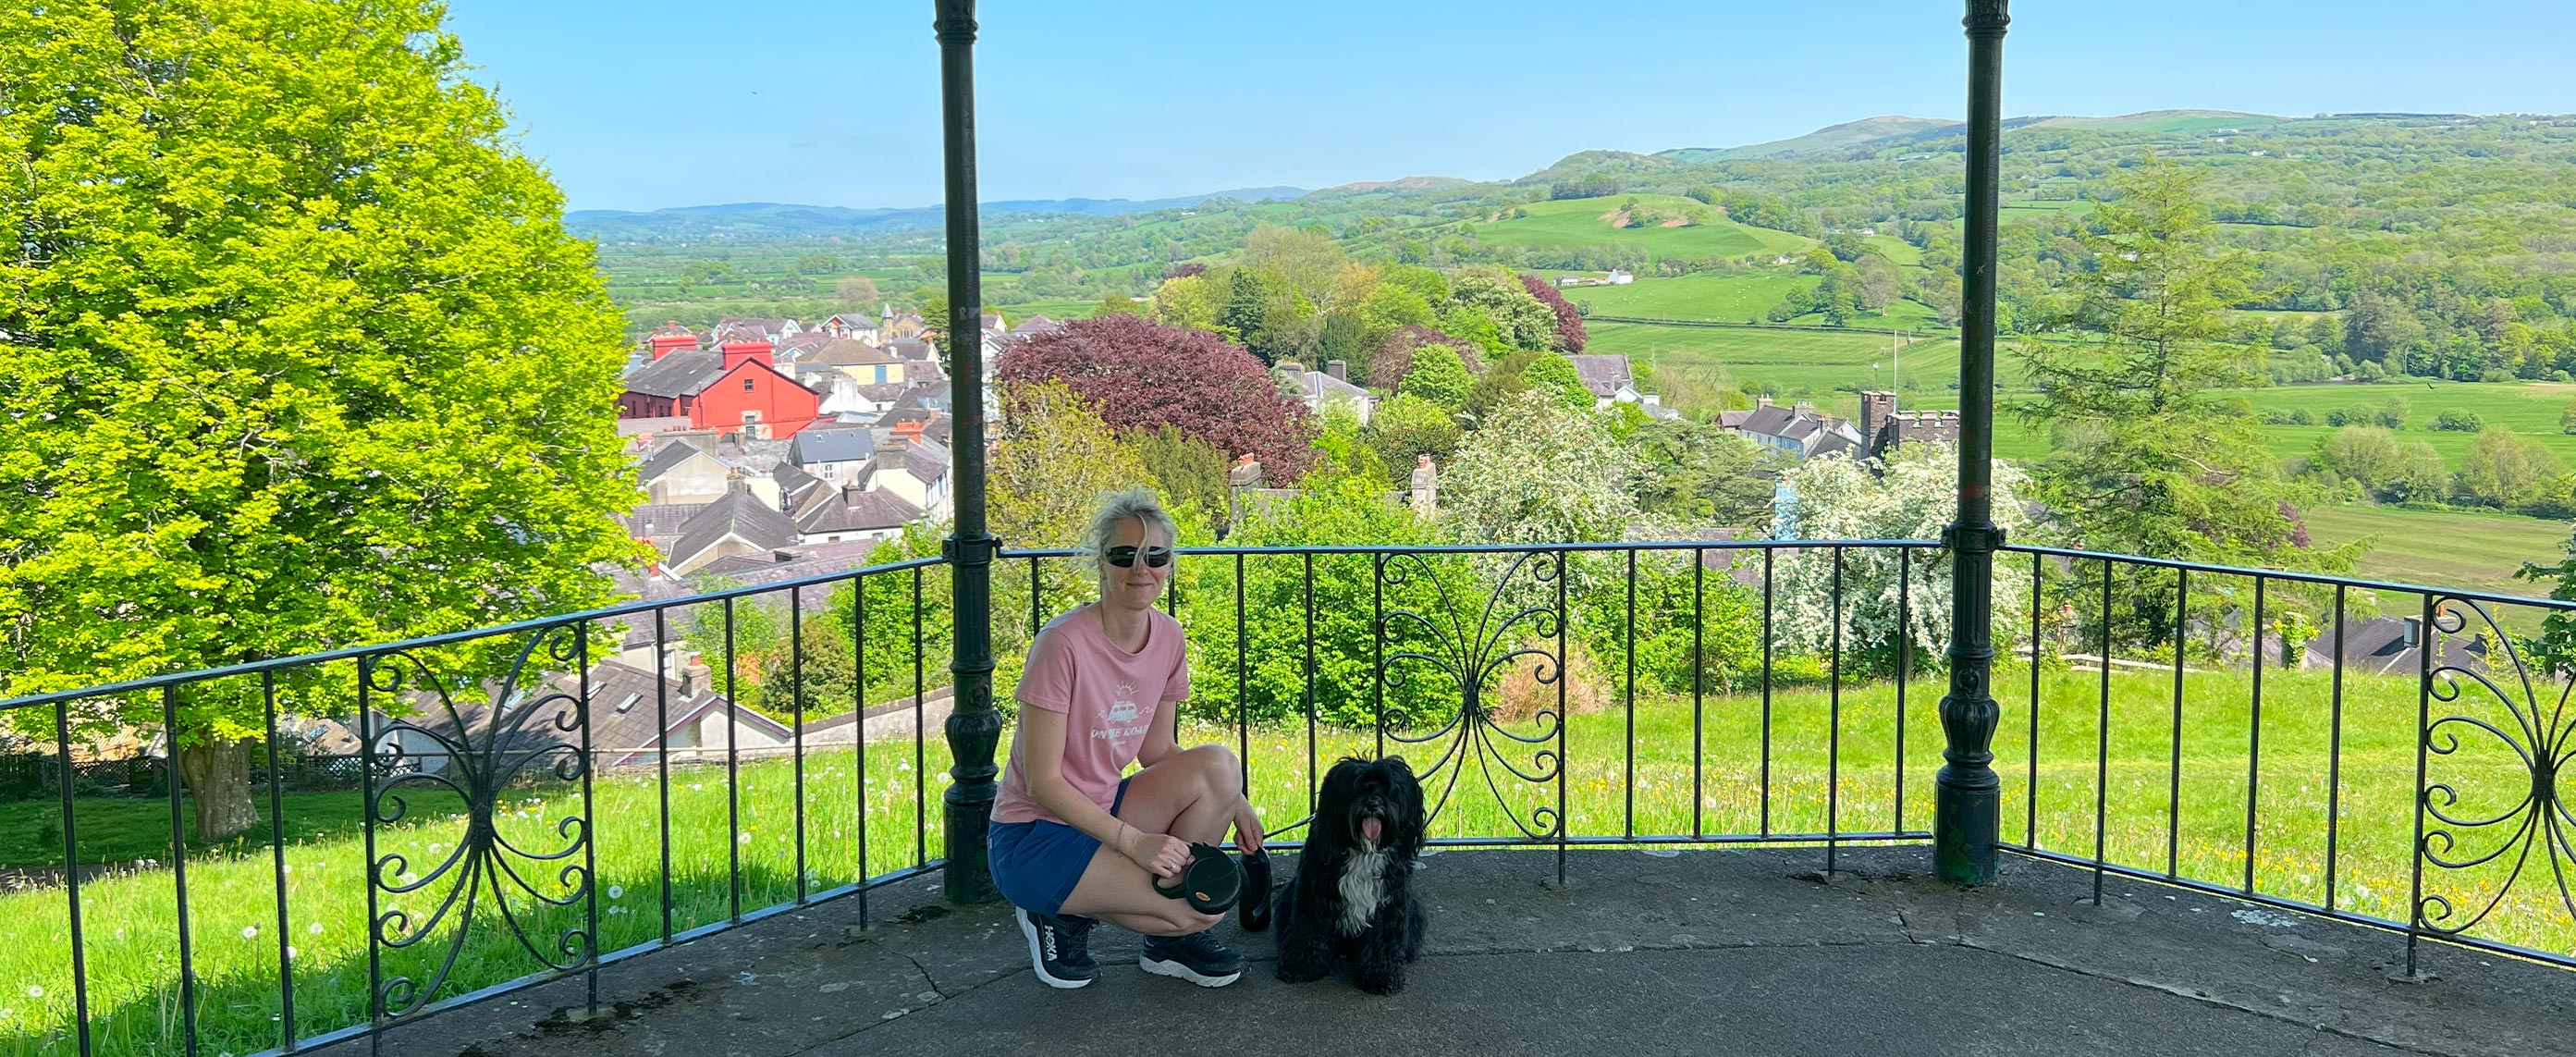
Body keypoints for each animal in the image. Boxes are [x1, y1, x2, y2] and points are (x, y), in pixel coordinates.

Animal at [1272, 757, 1432, 995]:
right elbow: (1308, 931)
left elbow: (1382, 942)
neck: (1363, 850)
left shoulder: (1388, 904)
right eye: (1357, 789)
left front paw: (1382, 977)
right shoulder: (1314, 896)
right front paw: (1299, 967)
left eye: (1389, 790)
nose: (1373, 804)